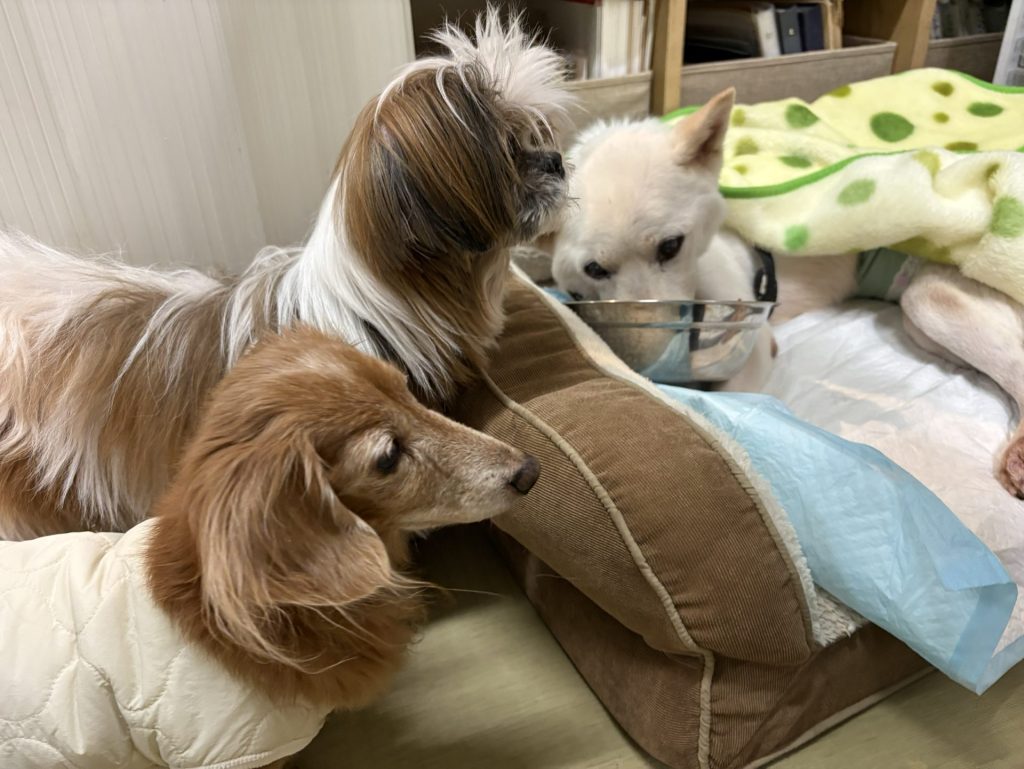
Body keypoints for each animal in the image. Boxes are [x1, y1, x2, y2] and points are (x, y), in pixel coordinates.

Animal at [546, 87, 1024, 497]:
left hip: (931, 298)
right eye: (594, 269)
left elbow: (729, 398)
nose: (653, 370)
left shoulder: (753, 342)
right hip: (919, 321)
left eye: (670, 246)